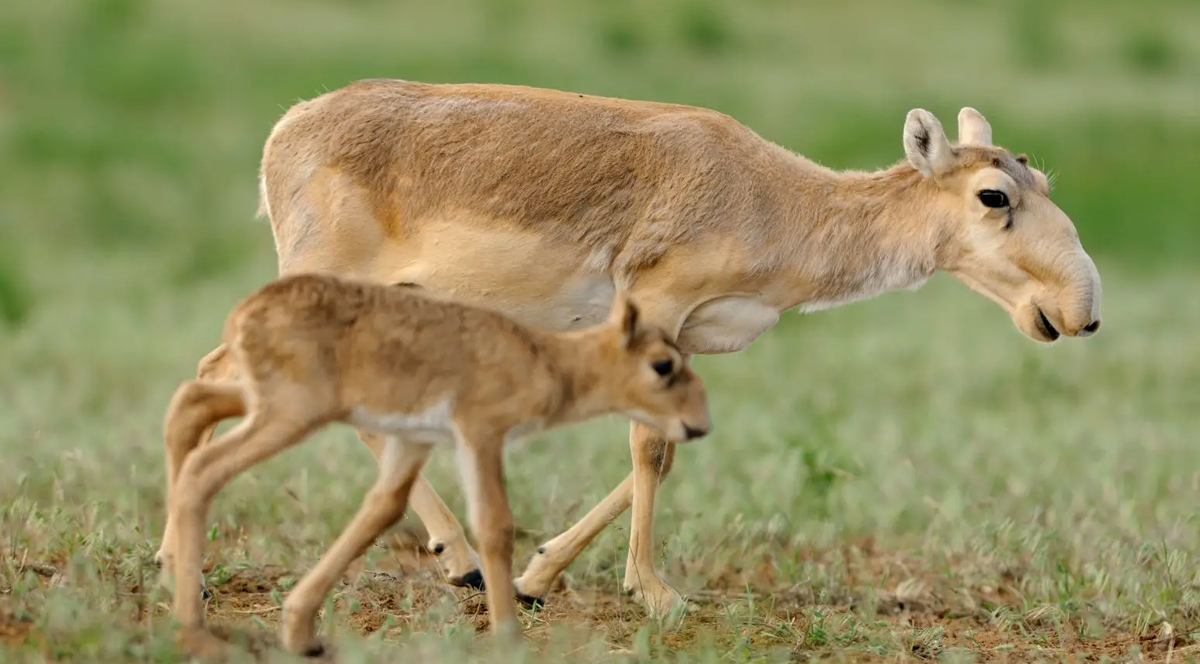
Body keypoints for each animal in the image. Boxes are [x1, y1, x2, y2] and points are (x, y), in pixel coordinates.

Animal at [164, 80, 1099, 619]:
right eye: (994, 194)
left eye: (1042, 179)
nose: (1079, 311)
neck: (776, 199)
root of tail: (286, 128)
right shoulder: (656, 306)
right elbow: (649, 447)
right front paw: (655, 592)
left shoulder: (686, 339)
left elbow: (669, 448)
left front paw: (538, 576)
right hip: (320, 281)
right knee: (214, 379)